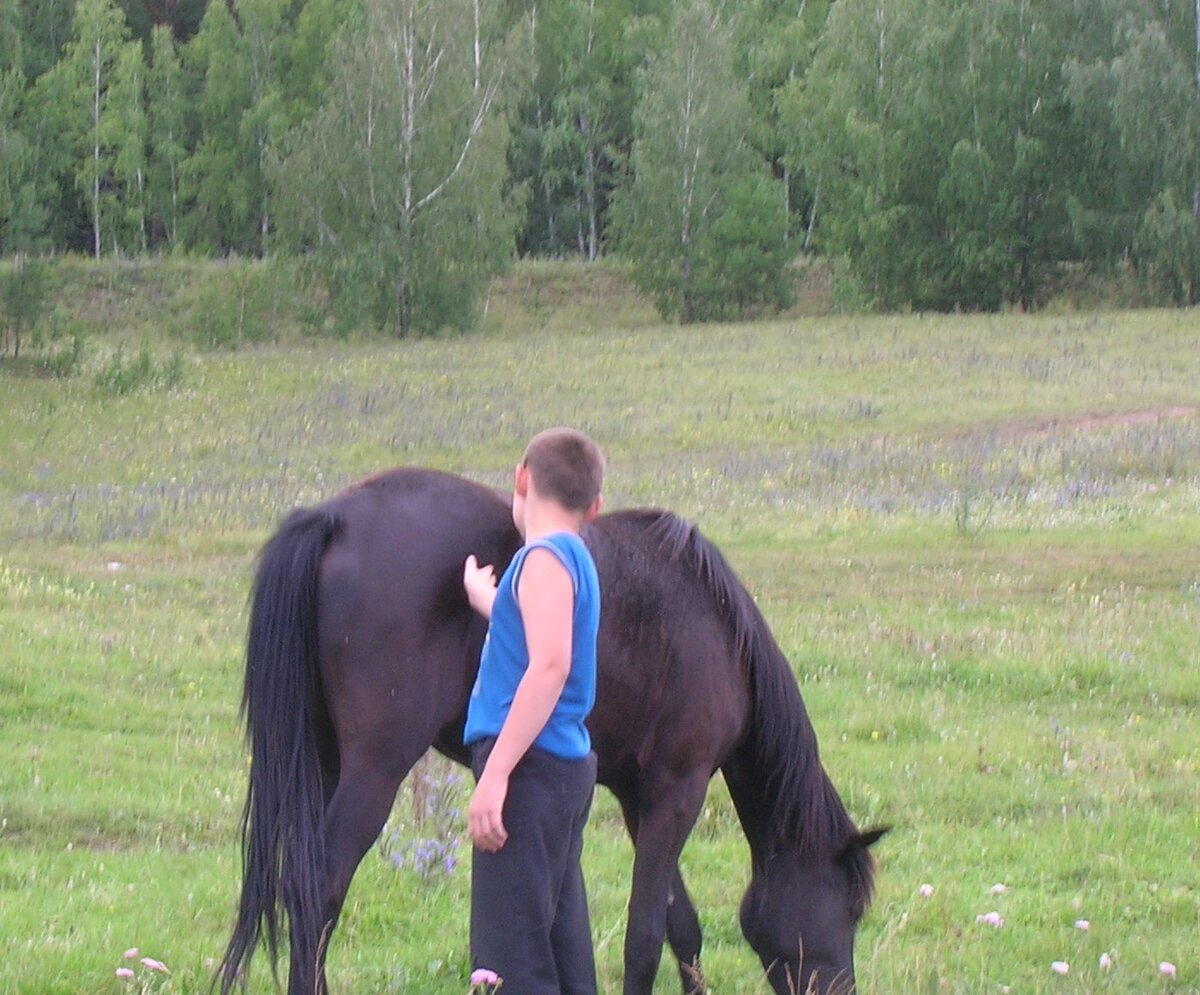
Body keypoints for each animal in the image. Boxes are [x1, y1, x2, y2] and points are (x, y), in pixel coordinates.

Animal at [220, 468, 888, 993]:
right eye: (851, 907)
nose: (843, 991)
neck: (719, 632)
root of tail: (334, 516)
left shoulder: (640, 796)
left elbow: (682, 928)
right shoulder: (680, 787)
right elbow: (646, 938)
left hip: (324, 758)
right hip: (375, 768)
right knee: (318, 894)